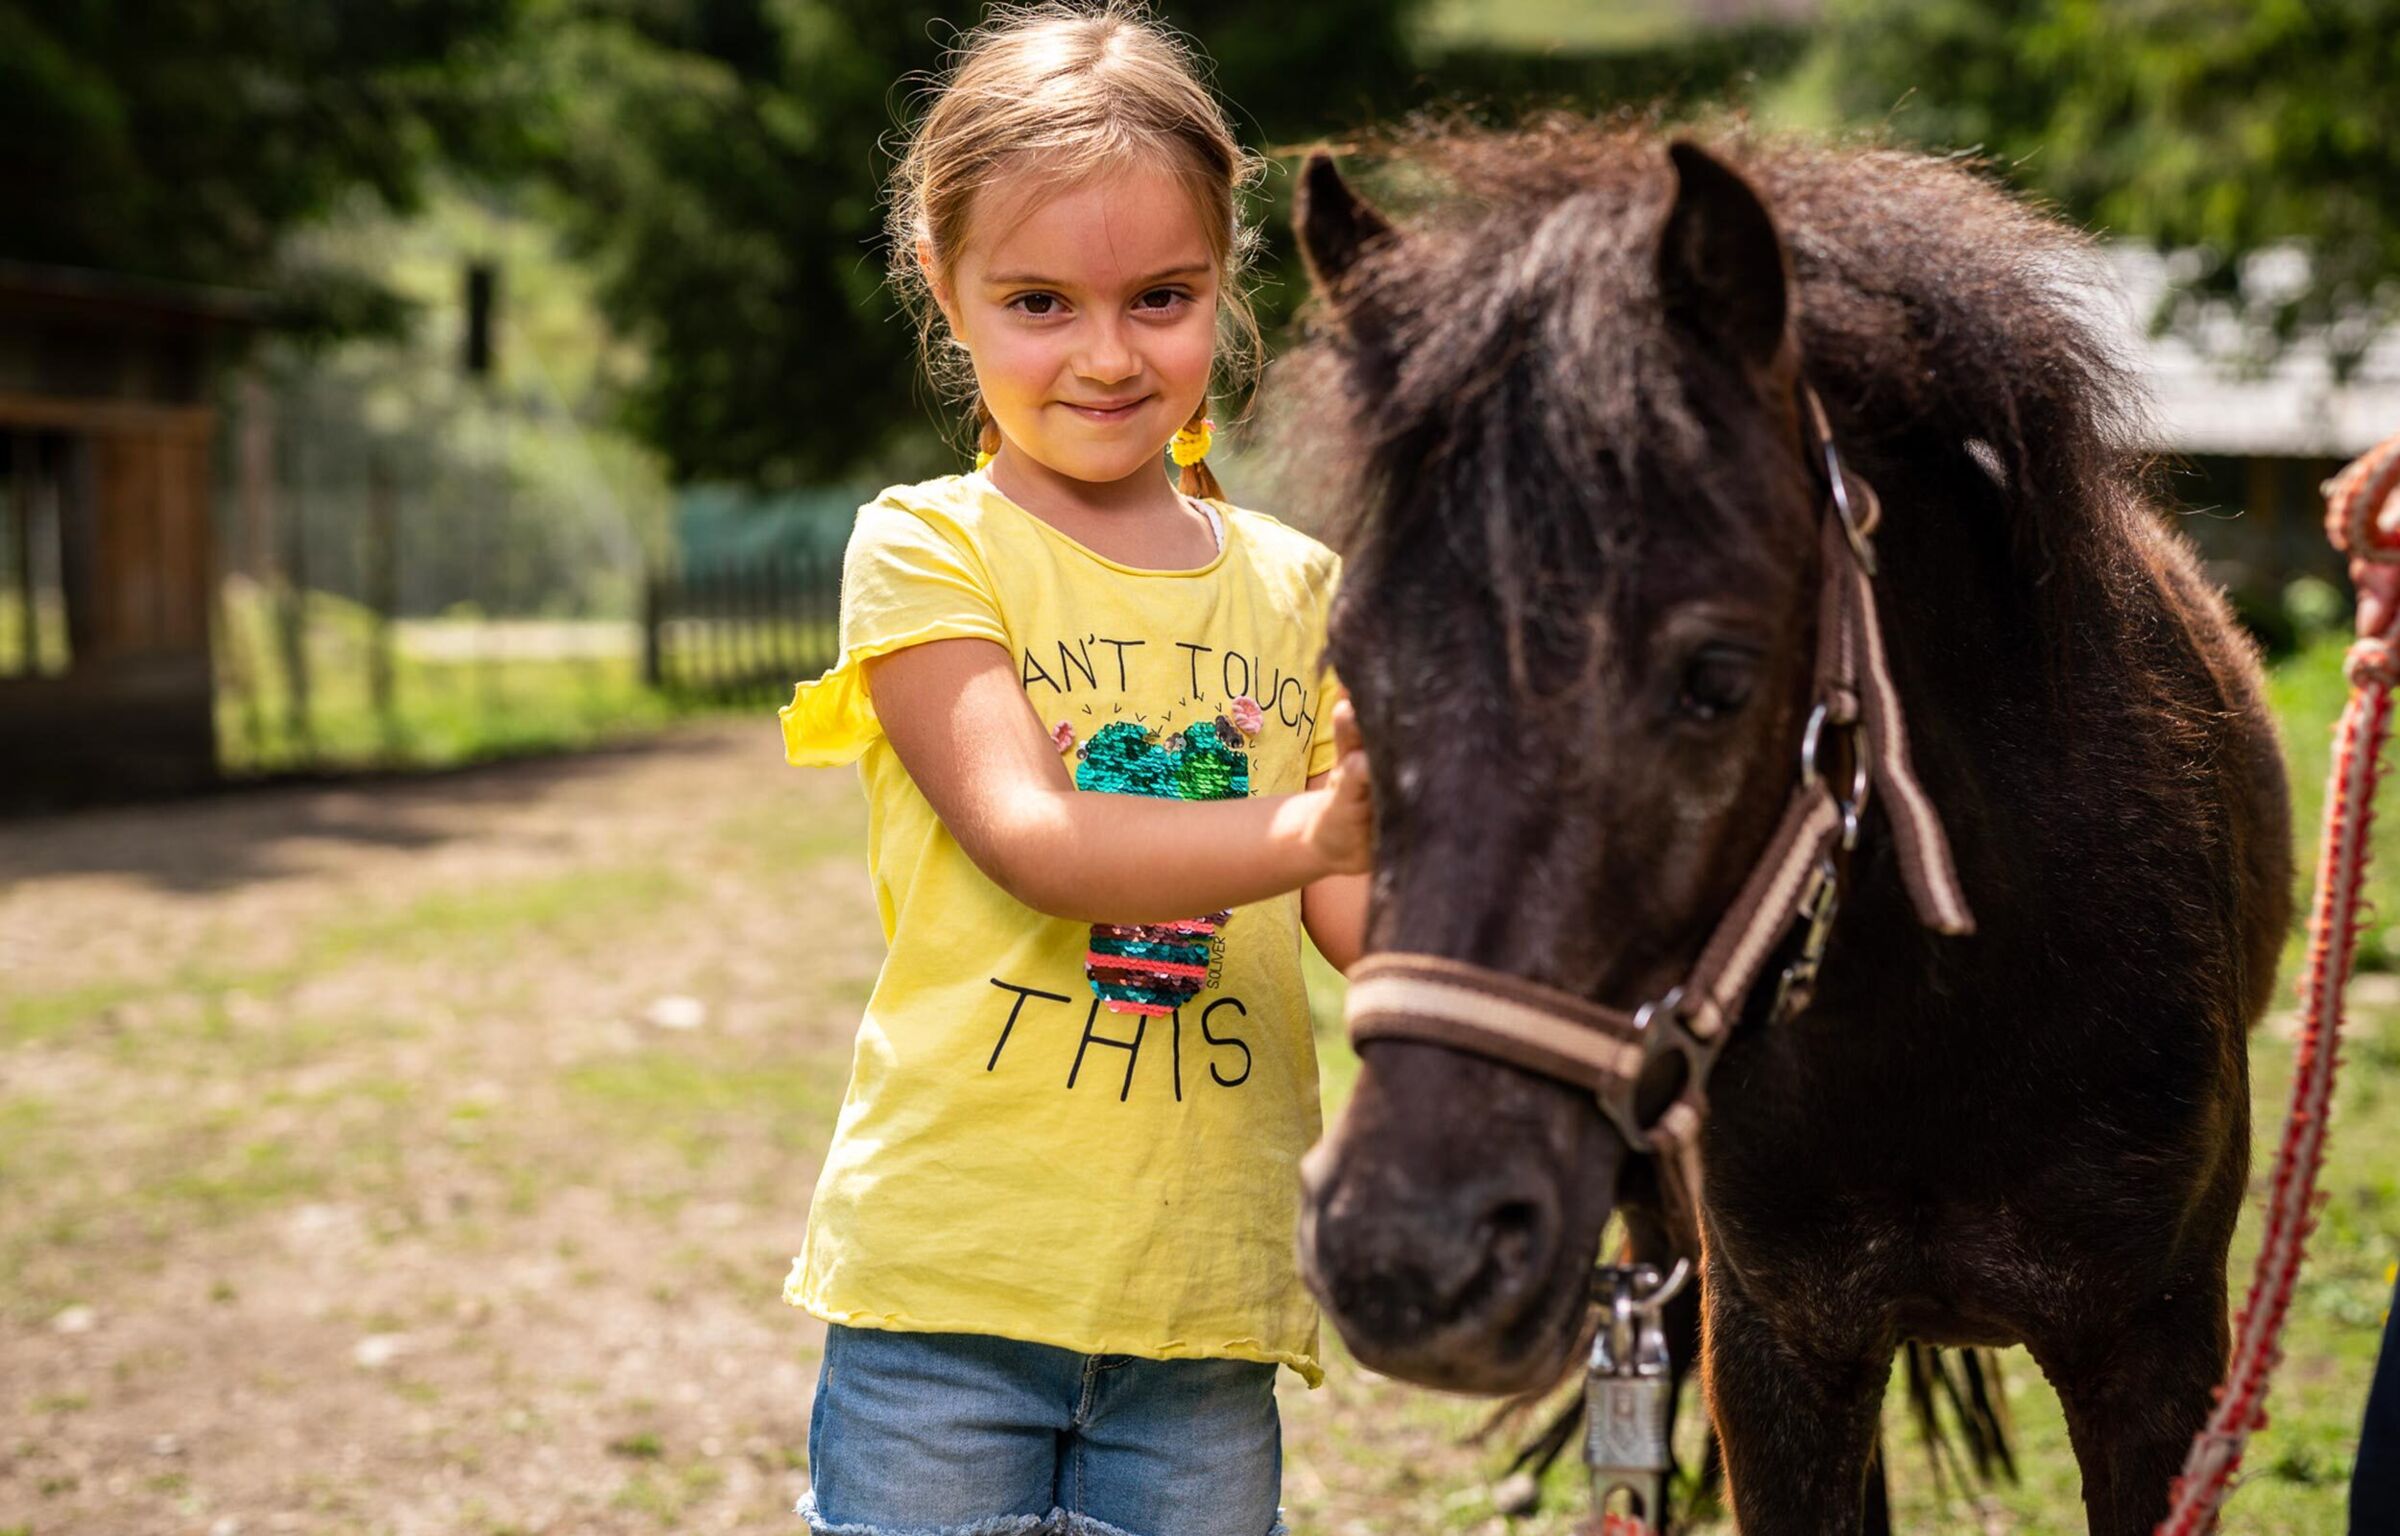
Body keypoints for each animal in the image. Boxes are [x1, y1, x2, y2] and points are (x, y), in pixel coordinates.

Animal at [1286, 120, 2294, 1536]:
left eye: (1716, 677)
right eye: (1354, 671)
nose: (1406, 1254)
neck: (1953, 1017)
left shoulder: (2158, 1364)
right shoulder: (1773, 1350)